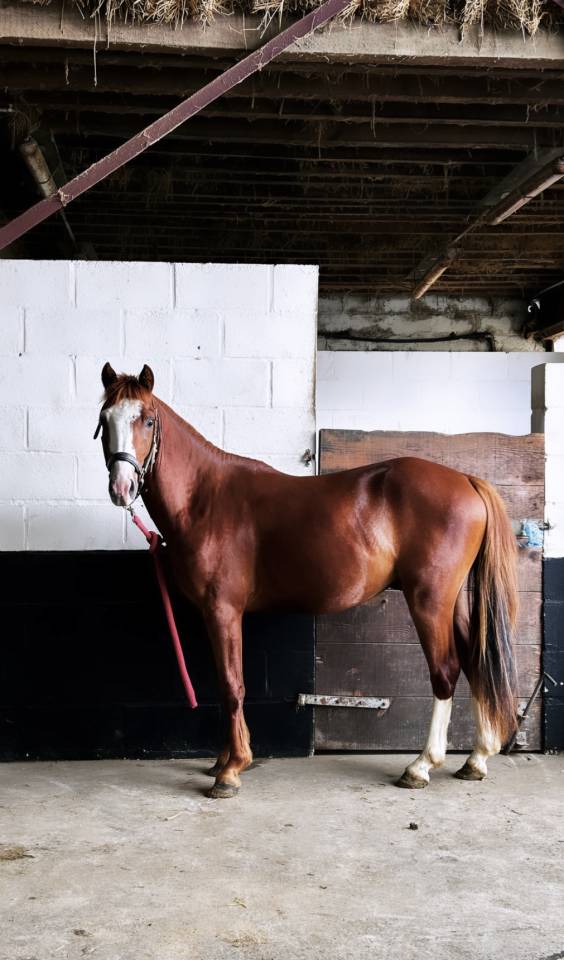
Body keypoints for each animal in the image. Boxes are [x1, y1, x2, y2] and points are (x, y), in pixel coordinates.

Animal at [95, 362, 519, 799]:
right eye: (104, 419)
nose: (121, 487)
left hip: (429, 601)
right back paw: (477, 758)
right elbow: (226, 684)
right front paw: (222, 760)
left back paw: (421, 765)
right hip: (453, 602)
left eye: (146, 420)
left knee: (446, 670)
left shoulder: (223, 610)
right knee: (474, 660)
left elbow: (232, 685)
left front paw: (231, 769)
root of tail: (465, 479)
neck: (205, 498)